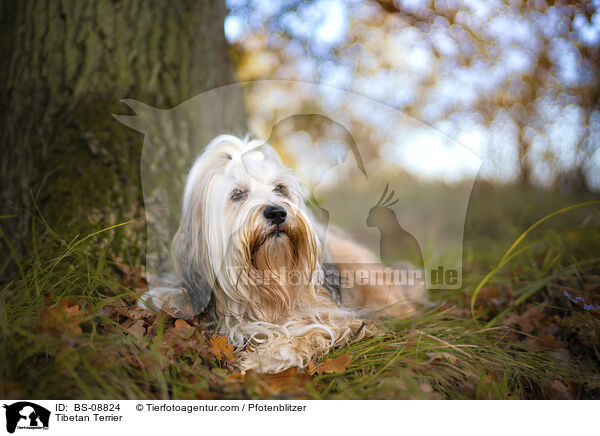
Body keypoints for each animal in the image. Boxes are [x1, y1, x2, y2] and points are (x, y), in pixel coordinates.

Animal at [141, 135, 422, 372]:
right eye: (237, 194)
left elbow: (311, 329)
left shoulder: (341, 316)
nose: (277, 212)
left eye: (279, 189)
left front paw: (268, 358)